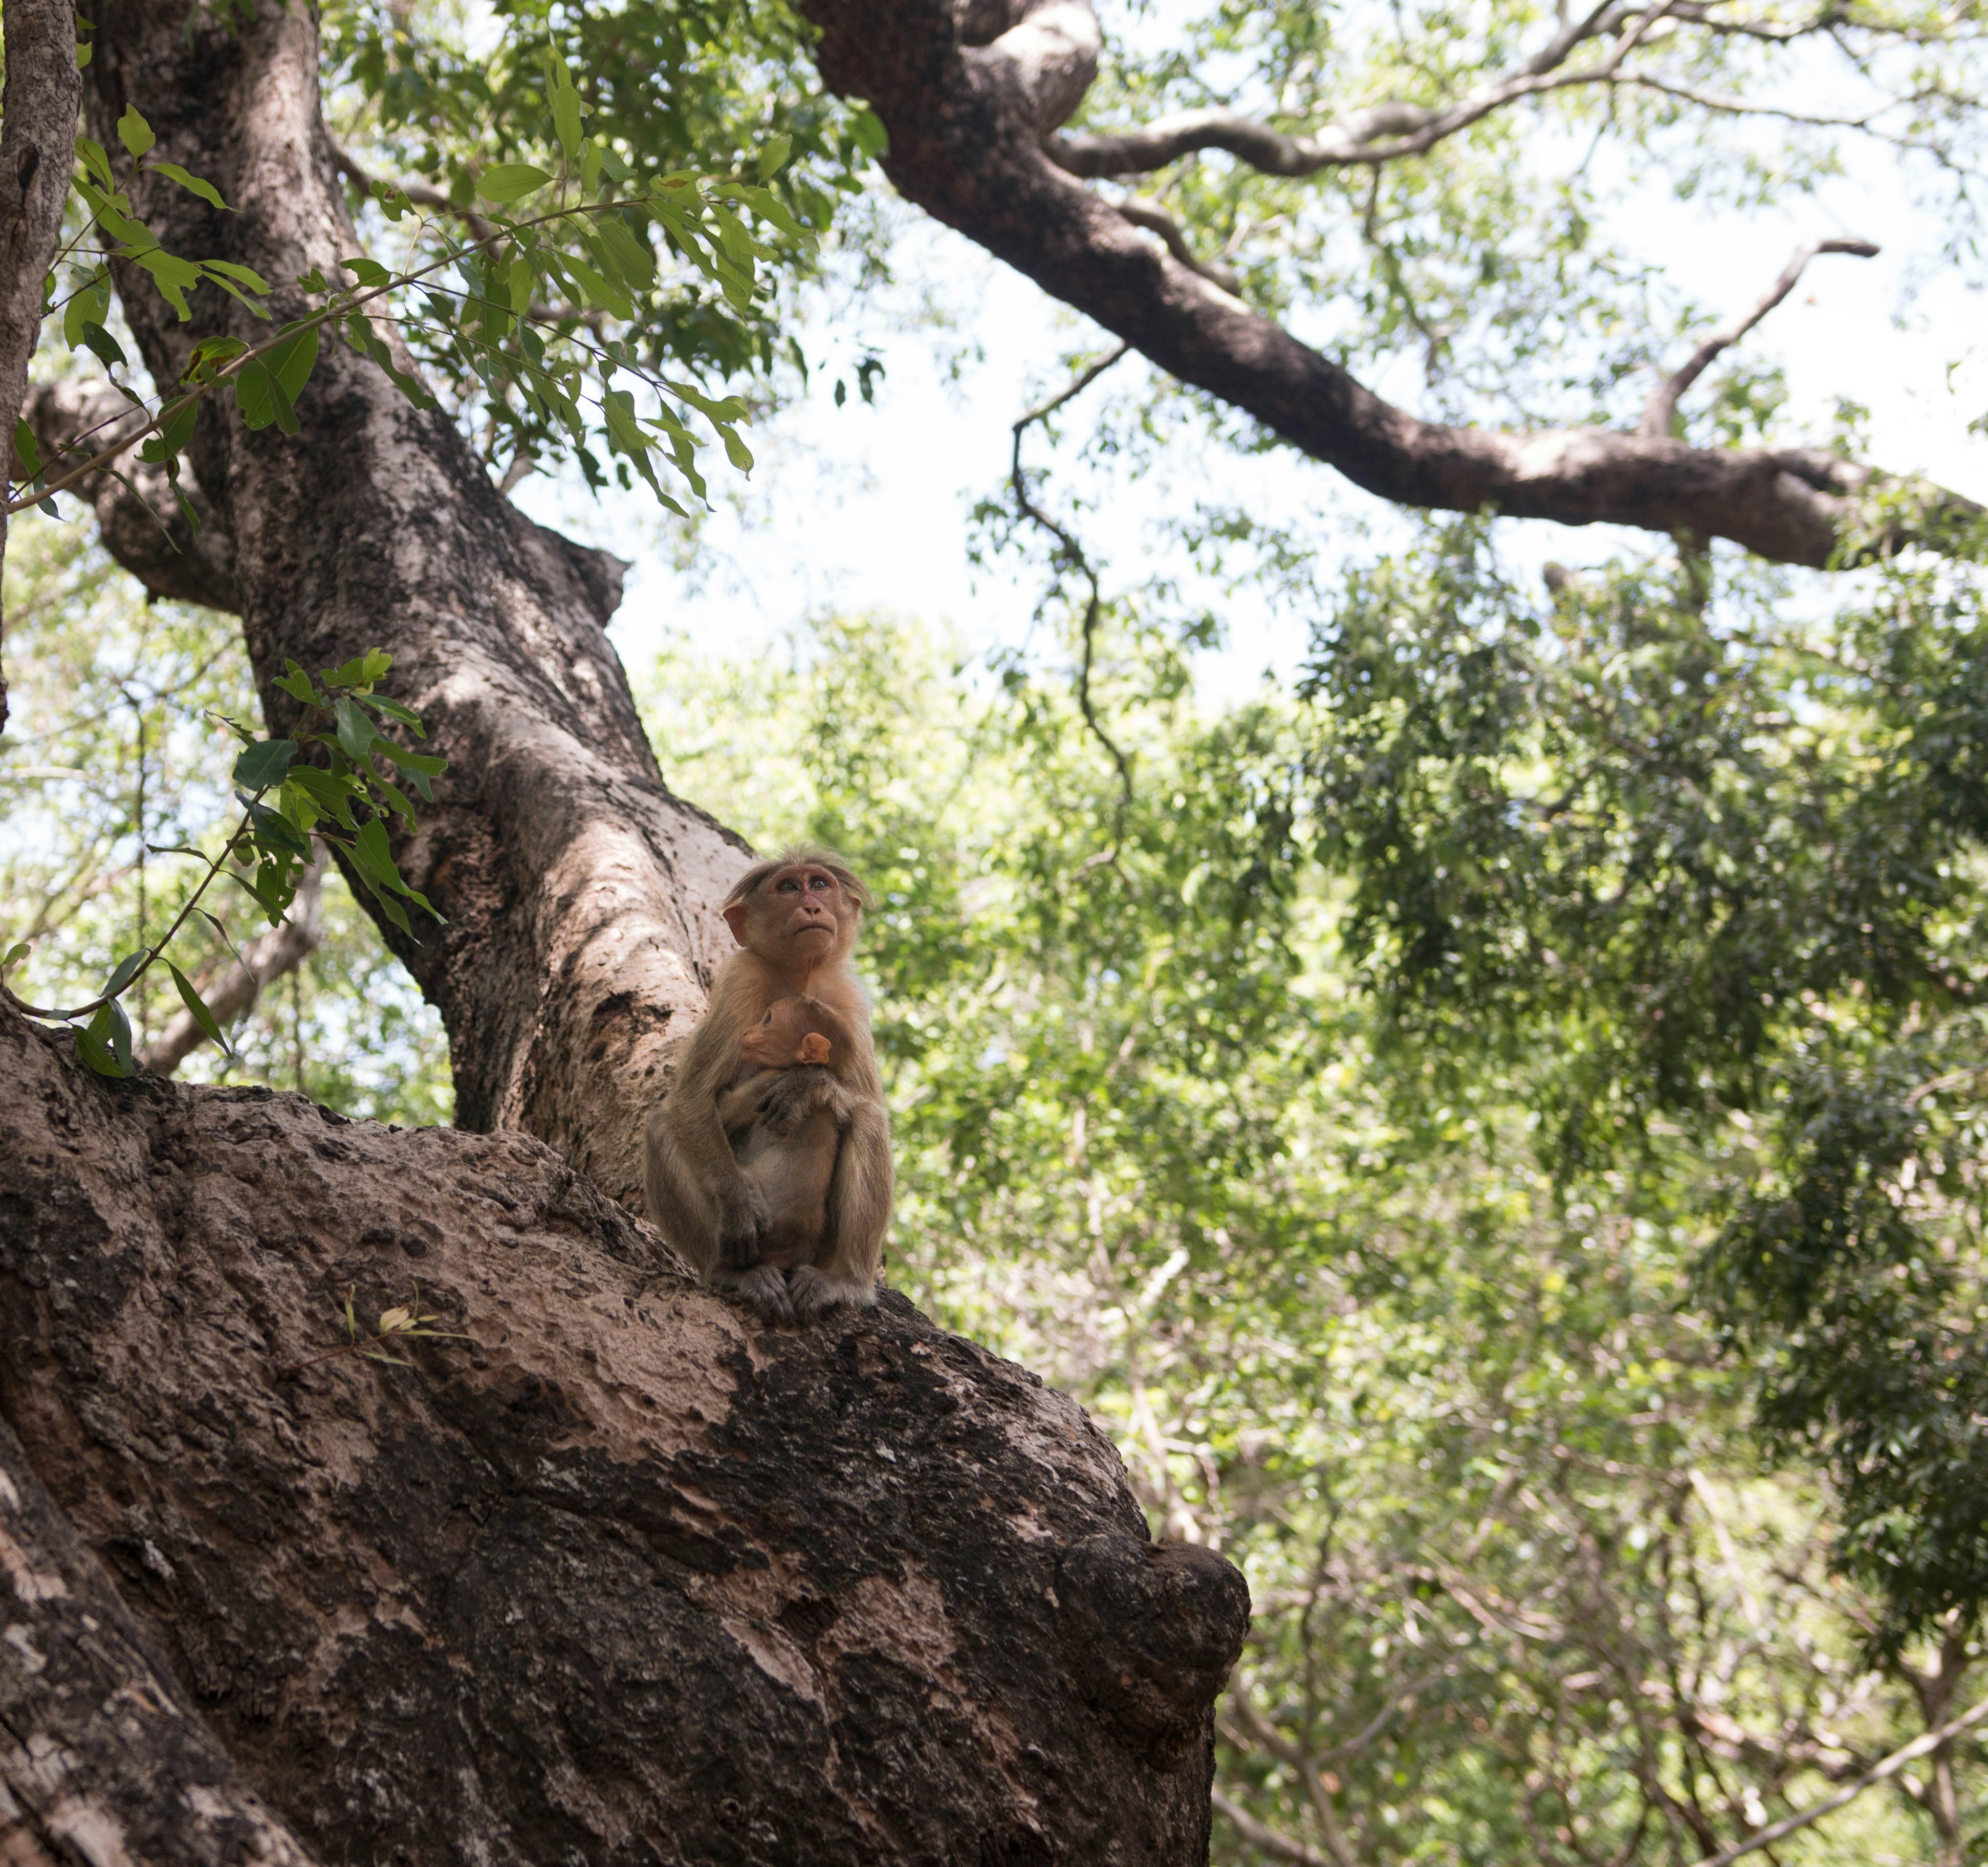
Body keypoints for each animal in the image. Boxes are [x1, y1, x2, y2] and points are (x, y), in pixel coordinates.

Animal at [642, 848, 893, 1326]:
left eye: (819, 885)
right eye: (788, 888)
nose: (811, 907)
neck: (798, 976)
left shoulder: (847, 1000)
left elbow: (867, 1099)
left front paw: (808, 1083)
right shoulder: (742, 978)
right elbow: (691, 1100)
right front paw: (739, 1206)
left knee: (868, 1119)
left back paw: (846, 1280)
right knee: (663, 1127)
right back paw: (734, 1273)